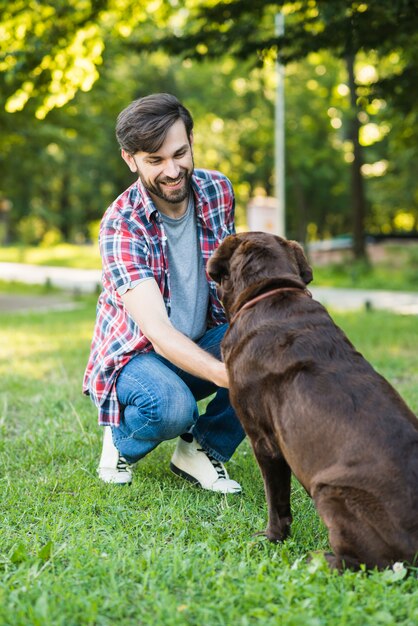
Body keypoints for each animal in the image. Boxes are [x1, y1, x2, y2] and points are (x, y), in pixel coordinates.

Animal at [207, 232, 418, 568]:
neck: (268, 292)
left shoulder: (265, 441)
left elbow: (276, 500)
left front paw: (271, 538)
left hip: (331, 491)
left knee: (363, 562)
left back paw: (315, 559)